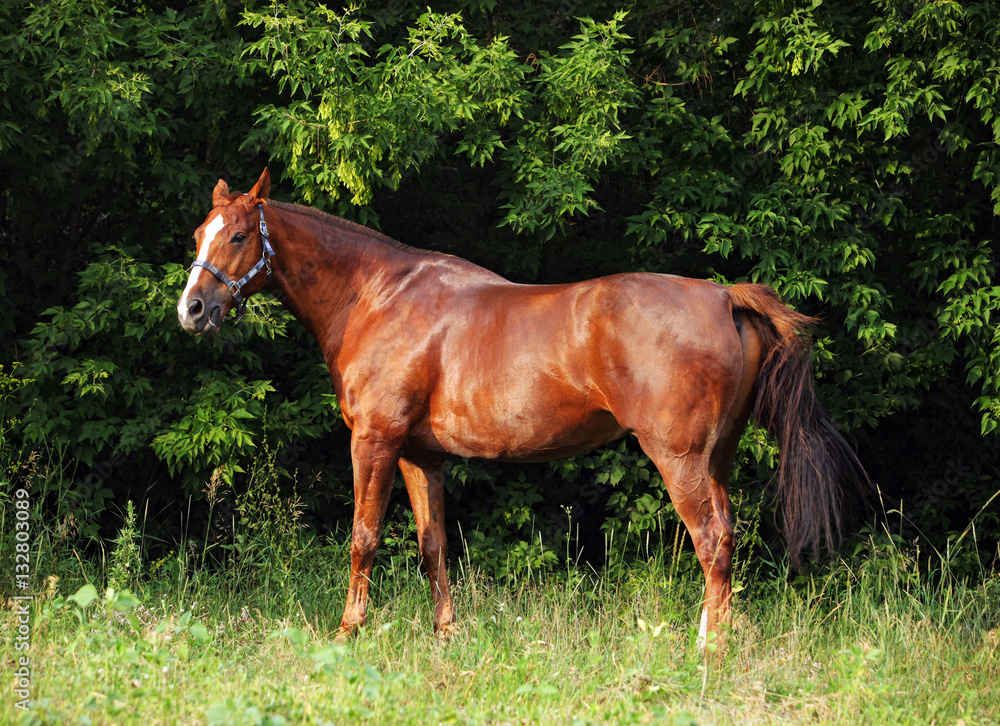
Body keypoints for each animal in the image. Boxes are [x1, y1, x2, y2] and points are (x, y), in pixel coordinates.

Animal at [176, 168, 869, 648]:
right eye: (198, 235)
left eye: (239, 235)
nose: (193, 309)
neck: (379, 297)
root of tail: (725, 297)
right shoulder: (420, 456)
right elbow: (433, 544)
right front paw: (446, 635)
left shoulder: (374, 441)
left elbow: (363, 538)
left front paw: (348, 634)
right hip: (715, 459)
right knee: (726, 534)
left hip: (680, 460)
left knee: (713, 539)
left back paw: (710, 651)